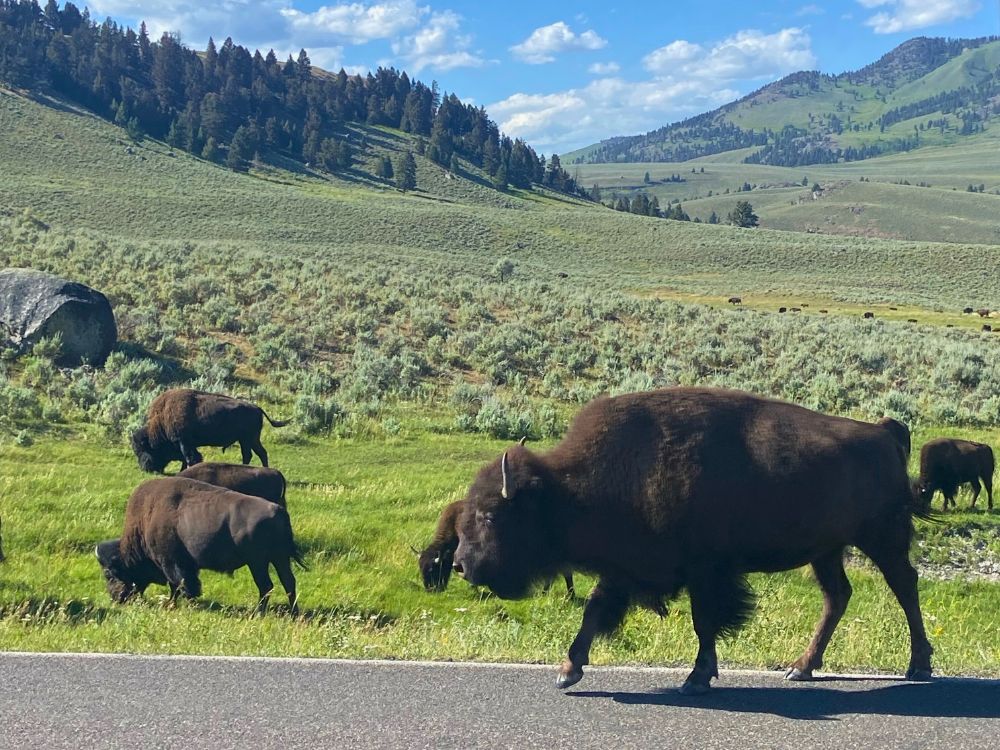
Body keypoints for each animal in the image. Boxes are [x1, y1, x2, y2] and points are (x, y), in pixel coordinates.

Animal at [96, 477, 304, 614]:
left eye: (109, 574)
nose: (115, 598)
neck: (146, 520)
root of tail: (279, 510)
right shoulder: (185, 565)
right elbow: (182, 585)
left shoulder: (170, 563)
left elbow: (179, 584)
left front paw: (179, 604)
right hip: (279, 559)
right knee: (288, 581)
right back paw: (293, 613)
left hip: (258, 562)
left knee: (266, 585)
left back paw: (258, 613)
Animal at [131, 389, 289, 473]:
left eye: (144, 449)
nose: (145, 468)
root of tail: (257, 408)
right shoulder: (187, 445)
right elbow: (190, 458)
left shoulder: (184, 443)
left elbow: (189, 458)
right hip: (247, 440)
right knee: (253, 454)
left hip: (249, 439)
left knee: (257, 453)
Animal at [453, 387, 932, 694]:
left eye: (492, 515)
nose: (460, 563)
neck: (569, 491)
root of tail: (883, 431)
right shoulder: (625, 568)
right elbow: (594, 610)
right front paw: (567, 671)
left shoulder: (705, 571)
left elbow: (704, 623)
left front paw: (697, 679)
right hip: (828, 550)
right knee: (838, 596)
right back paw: (801, 668)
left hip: (881, 538)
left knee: (904, 586)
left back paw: (918, 666)